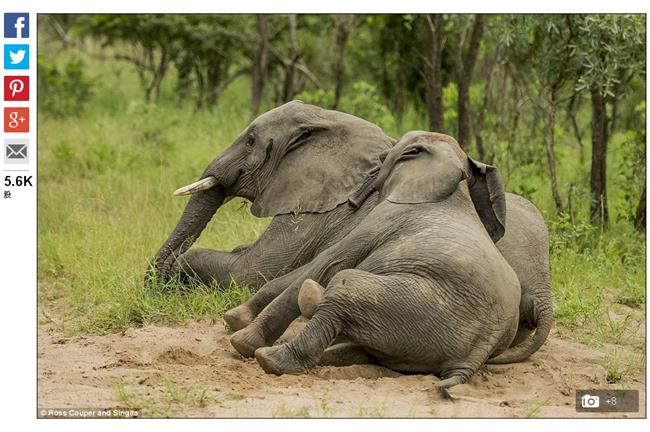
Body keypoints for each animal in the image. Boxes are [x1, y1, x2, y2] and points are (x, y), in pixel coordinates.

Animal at [230, 131, 521, 397]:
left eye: (386, 158)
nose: (351, 201)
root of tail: (475, 357)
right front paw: (237, 318)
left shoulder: (387, 216)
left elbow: (329, 261)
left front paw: (241, 339)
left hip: (417, 305)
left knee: (344, 286)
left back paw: (269, 357)